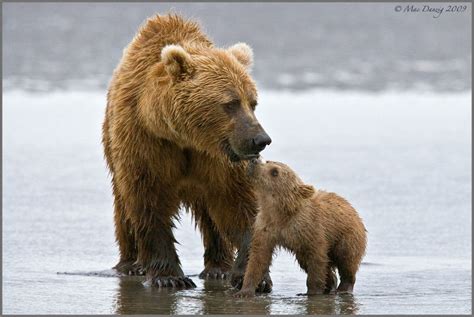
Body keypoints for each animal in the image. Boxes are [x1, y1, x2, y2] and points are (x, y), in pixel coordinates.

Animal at [102, 12, 272, 288]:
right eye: (231, 103)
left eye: (253, 102)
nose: (260, 140)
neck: (186, 137)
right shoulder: (145, 141)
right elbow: (148, 201)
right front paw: (169, 277)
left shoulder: (220, 158)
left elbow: (239, 204)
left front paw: (250, 275)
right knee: (124, 208)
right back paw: (131, 265)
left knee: (212, 217)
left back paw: (218, 268)